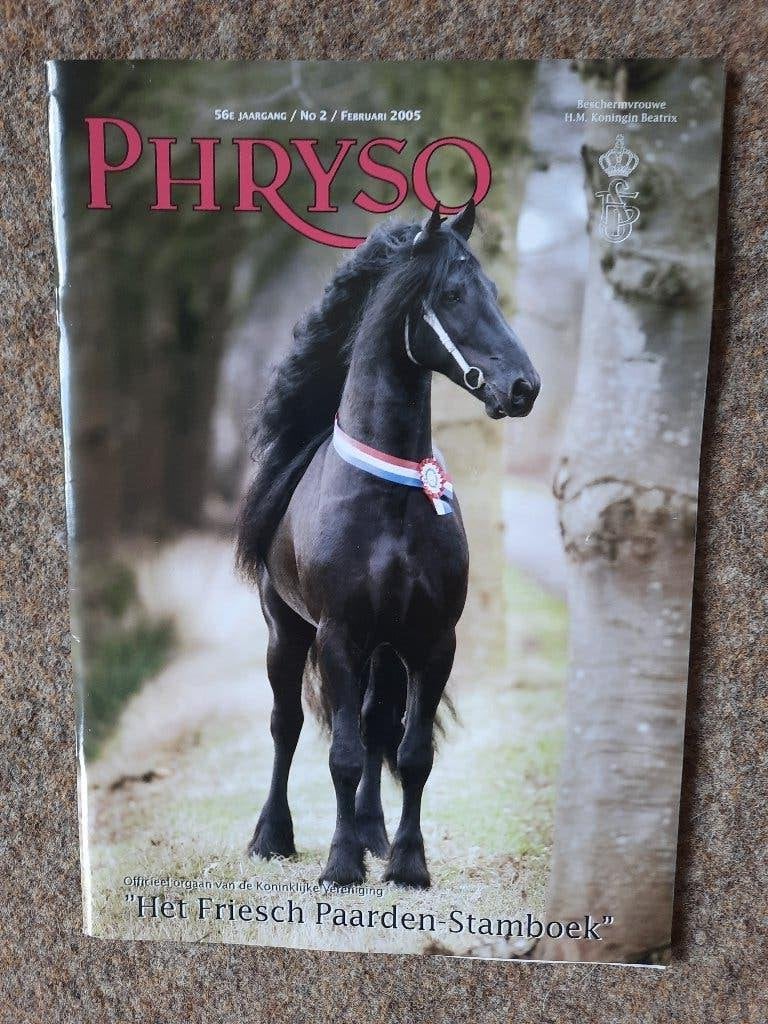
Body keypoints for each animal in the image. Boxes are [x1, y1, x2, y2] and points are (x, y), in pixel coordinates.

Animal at [237, 200, 540, 888]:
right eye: (452, 293)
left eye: (493, 291)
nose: (524, 388)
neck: (392, 498)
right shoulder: (338, 636)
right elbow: (342, 755)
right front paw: (340, 866)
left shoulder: (432, 640)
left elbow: (411, 752)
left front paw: (405, 864)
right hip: (286, 633)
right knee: (287, 726)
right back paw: (272, 837)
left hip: (382, 648)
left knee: (377, 727)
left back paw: (373, 833)